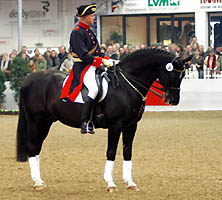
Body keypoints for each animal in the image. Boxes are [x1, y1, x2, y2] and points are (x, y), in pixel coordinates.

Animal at [16, 48, 192, 191]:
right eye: (173, 74)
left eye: (183, 75)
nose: (173, 100)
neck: (126, 86)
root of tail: (28, 79)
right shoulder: (115, 125)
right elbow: (111, 151)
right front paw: (111, 184)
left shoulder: (131, 125)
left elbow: (127, 151)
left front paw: (130, 183)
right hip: (36, 120)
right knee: (32, 146)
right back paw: (38, 183)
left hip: (46, 122)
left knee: (37, 147)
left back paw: (39, 181)